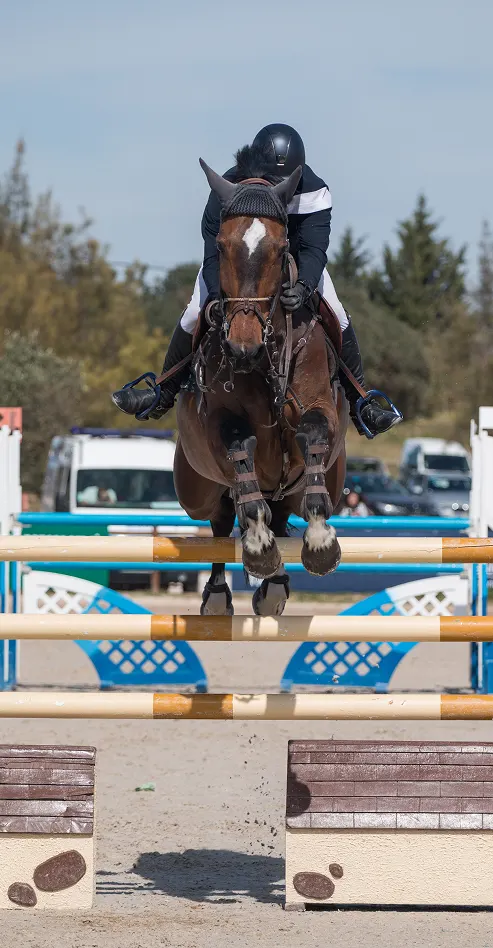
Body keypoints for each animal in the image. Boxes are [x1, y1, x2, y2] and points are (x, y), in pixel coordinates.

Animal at [172, 158, 349, 617]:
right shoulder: (222, 422)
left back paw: (275, 587)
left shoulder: (317, 405)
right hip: (195, 488)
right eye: (220, 243)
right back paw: (221, 593)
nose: (242, 347)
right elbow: (240, 452)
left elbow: (312, 433)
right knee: (221, 518)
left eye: (280, 246)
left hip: (320, 479)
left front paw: (320, 543)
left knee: (284, 510)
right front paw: (258, 549)